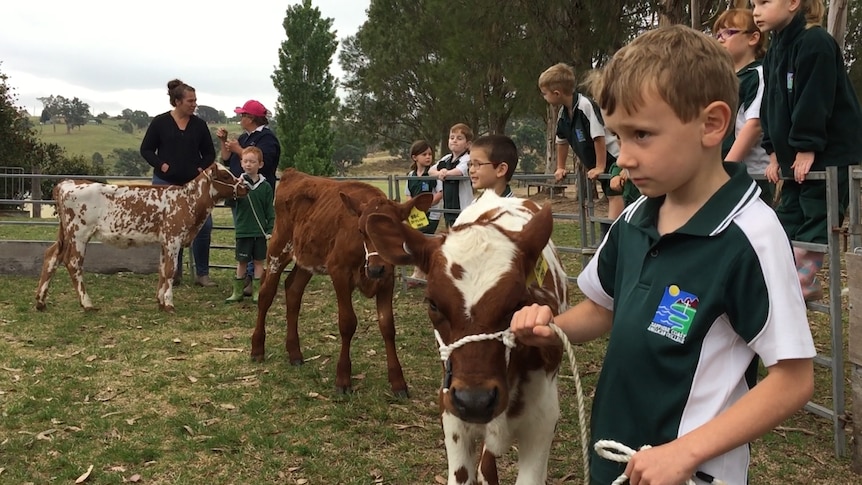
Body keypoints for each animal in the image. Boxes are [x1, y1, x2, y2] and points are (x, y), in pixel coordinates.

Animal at [34, 163, 246, 312]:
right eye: (225, 175)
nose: (245, 187)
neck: (187, 200)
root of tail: (68, 183)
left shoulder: (164, 241)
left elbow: (162, 270)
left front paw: (160, 301)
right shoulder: (173, 238)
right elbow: (170, 270)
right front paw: (169, 304)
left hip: (65, 233)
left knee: (52, 255)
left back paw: (41, 301)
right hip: (79, 233)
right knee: (73, 263)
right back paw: (87, 304)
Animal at [253, 169, 436, 398]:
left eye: (395, 230)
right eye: (361, 230)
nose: (376, 269)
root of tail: (293, 173)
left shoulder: (387, 280)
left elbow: (387, 326)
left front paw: (398, 382)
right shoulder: (338, 272)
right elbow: (347, 323)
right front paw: (343, 378)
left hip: (307, 258)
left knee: (293, 291)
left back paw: (295, 353)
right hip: (278, 248)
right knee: (266, 294)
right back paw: (257, 348)